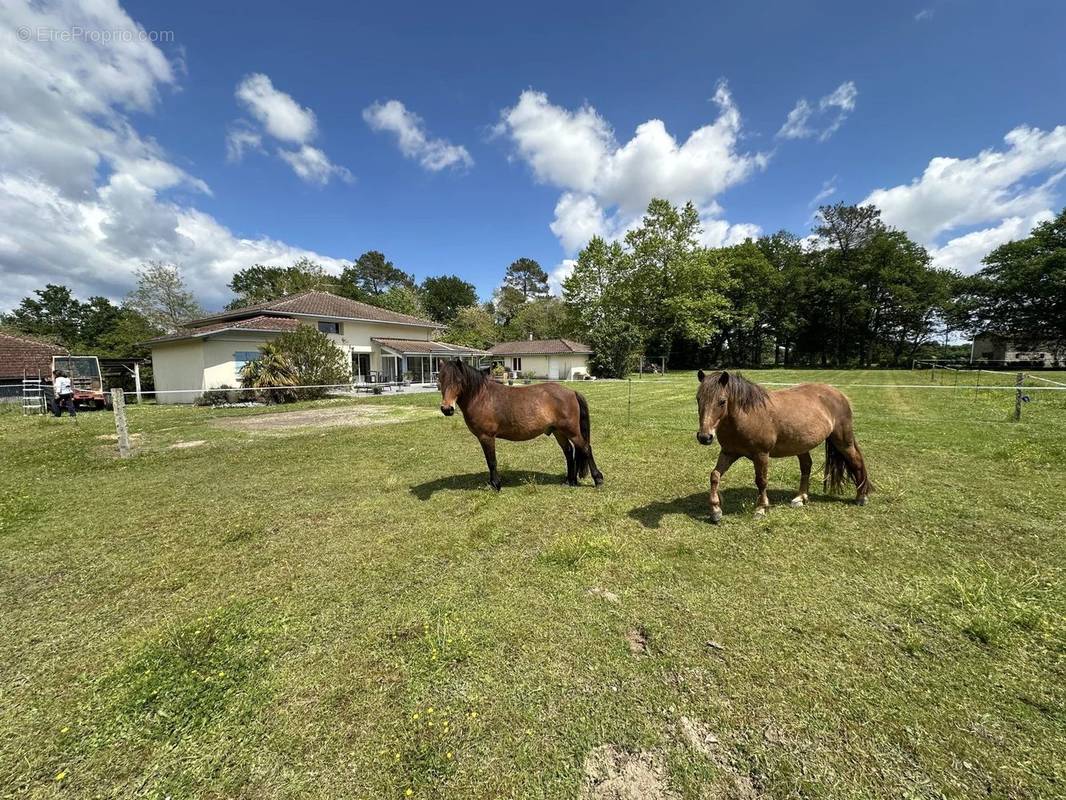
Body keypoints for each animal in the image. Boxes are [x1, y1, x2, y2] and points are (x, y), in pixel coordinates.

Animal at [432, 360, 601, 492]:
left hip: (571, 431)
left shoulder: (486, 437)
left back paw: (598, 480)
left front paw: (496, 485)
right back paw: (570, 481)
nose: (447, 409)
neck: (481, 397)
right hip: (558, 432)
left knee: (585, 448)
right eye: (440, 379)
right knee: (569, 451)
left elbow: (491, 461)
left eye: (458, 380)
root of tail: (571, 392)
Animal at [695, 371, 869, 522]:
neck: (747, 415)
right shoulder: (728, 453)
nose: (705, 437)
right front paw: (715, 511)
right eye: (698, 399)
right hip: (802, 446)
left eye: (722, 401)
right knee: (806, 467)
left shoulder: (761, 455)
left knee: (856, 462)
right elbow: (714, 475)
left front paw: (761, 509)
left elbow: (761, 481)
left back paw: (861, 497)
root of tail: (839, 394)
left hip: (843, 442)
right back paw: (800, 498)